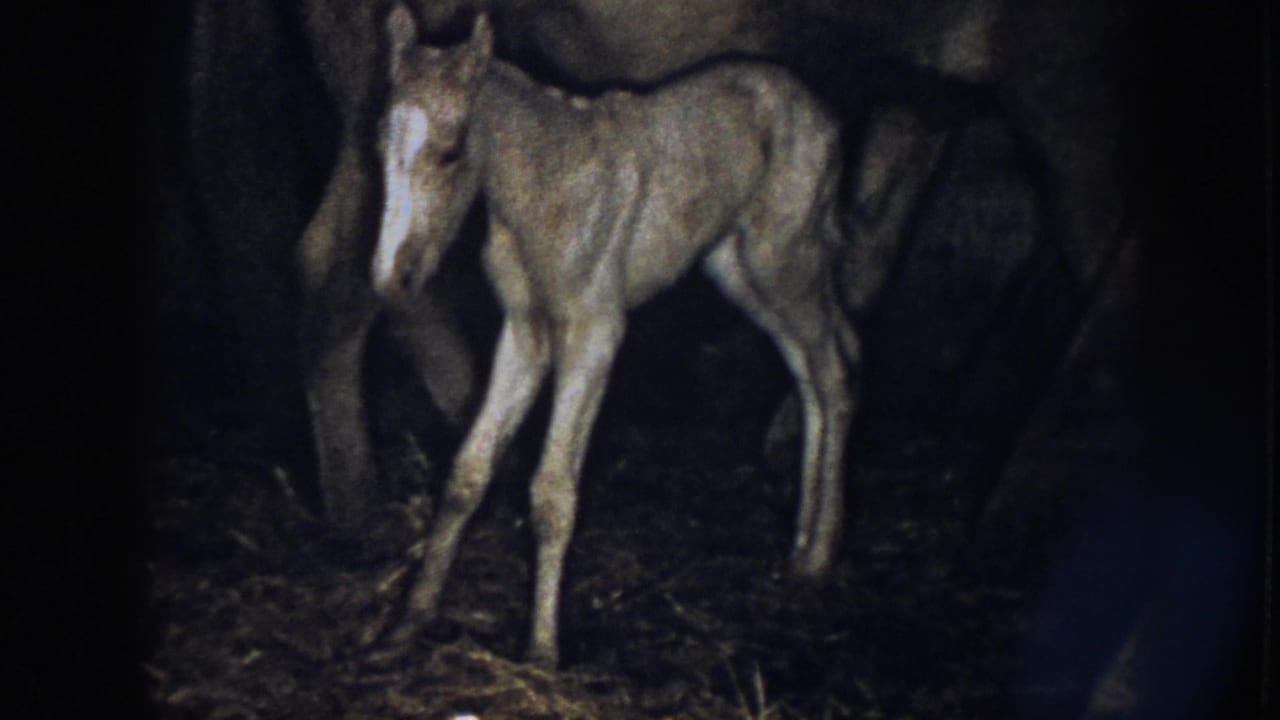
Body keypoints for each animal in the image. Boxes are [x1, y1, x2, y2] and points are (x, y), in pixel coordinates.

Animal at [373, 4, 859, 667]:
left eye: (450, 153)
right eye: (379, 146)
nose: (390, 279)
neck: (546, 192)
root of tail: (818, 110)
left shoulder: (595, 330)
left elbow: (552, 491)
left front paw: (542, 650)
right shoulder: (524, 330)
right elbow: (468, 469)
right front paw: (407, 623)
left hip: (785, 258)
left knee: (833, 370)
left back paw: (818, 556)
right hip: (739, 271)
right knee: (806, 369)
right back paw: (800, 546)